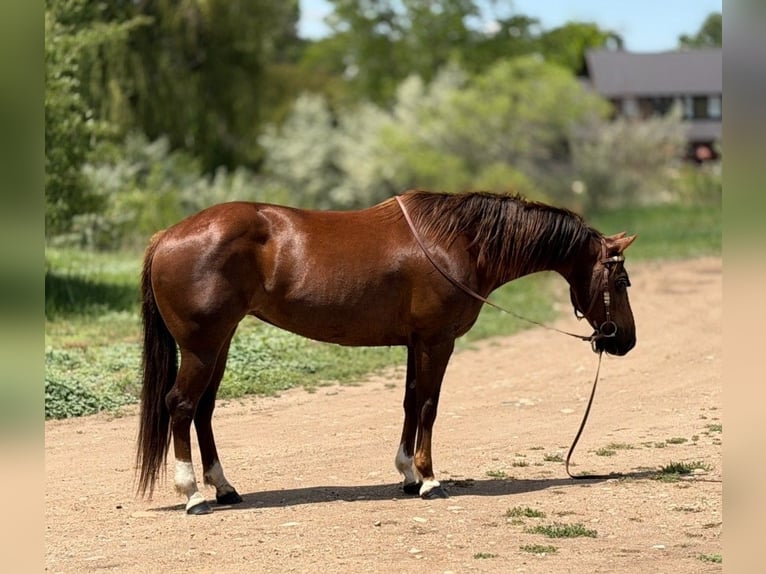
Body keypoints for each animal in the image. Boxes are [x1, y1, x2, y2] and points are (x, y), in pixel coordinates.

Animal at [136, 190, 637, 514]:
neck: (458, 241)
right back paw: (193, 495)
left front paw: (408, 475)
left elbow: (411, 402)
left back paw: (223, 488)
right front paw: (430, 480)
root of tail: (165, 236)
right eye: (621, 280)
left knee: (203, 411)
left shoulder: (416, 343)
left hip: (219, 345)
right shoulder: (438, 340)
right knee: (181, 406)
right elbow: (430, 405)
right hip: (201, 348)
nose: (624, 340)